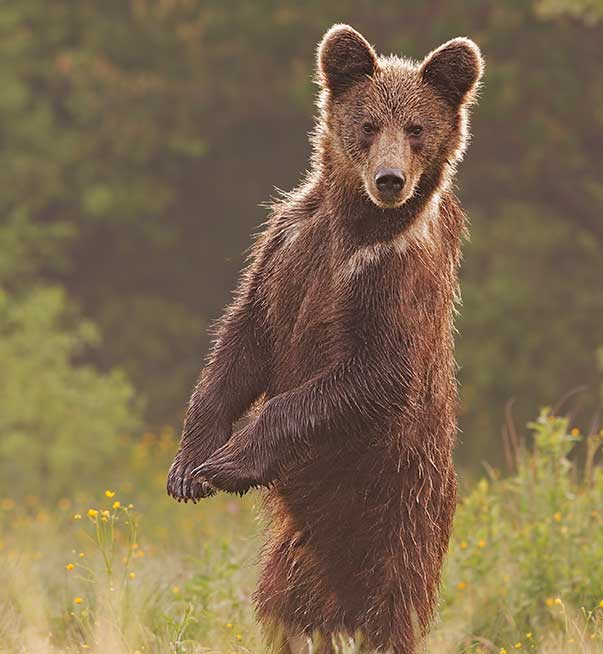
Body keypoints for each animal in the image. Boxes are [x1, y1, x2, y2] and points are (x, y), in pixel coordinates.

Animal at [167, 24, 483, 654]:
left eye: (417, 128)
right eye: (368, 124)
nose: (390, 180)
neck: (356, 222)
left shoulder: (394, 276)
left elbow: (375, 373)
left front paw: (229, 461)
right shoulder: (285, 245)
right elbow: (243, 340)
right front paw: (190, 465)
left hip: (402, 514)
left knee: (390, 611)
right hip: (295, 557)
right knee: (285, 610)